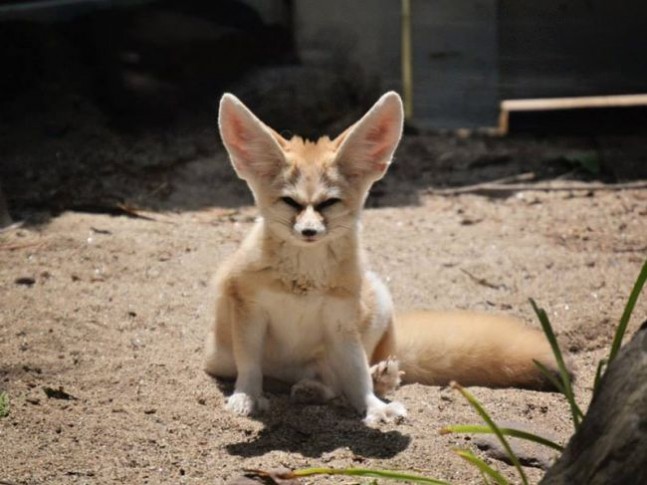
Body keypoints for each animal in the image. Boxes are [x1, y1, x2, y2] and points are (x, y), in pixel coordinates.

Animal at [204, 91, 564, 425]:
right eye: (290, 203)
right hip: (224, 359)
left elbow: (357, 376)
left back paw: (359, 383)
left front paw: (374, 406)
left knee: (340, 380)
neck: (303, 279)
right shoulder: (248, 309)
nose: (308, 232)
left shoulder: (340, 323)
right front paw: (247, 396)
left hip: (376, 297)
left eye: (329, 203)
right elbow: (250, 365)